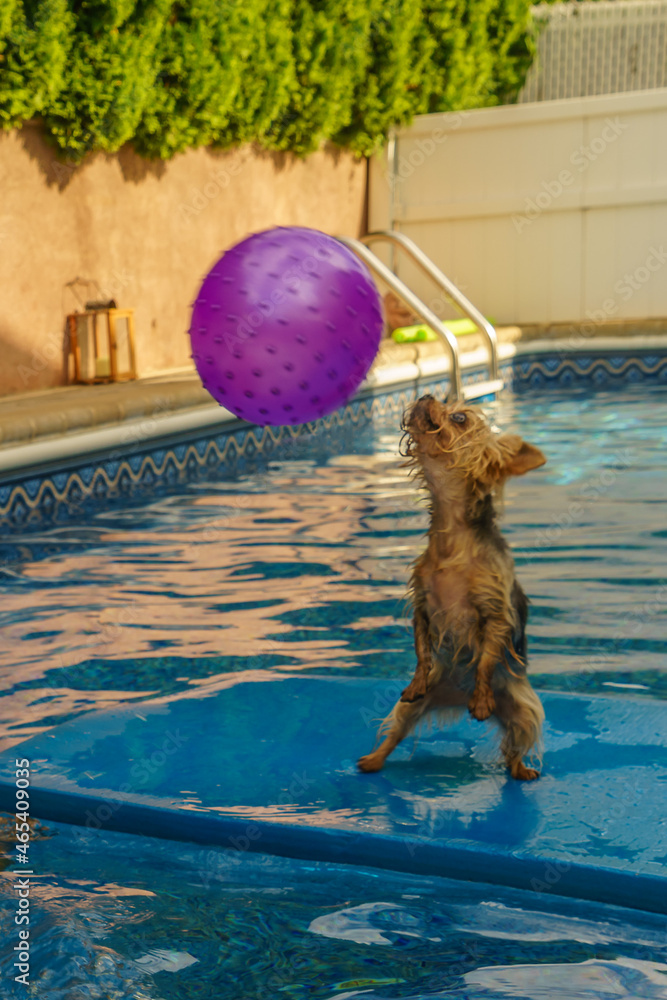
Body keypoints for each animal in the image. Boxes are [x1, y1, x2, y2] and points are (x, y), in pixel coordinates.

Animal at [360, 396, 548, 780]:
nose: (425, 397)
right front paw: (416, 679)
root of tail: (456, 698)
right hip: (420, 702)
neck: (453, 540)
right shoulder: (421, 605)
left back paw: (519, 767)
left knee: (514, 744)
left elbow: (486, 660)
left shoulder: (495, 613)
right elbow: (421, 649)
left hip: (524, 709)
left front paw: (482, 697)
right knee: (397, 731)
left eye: (460, 418)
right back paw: (373, 760)